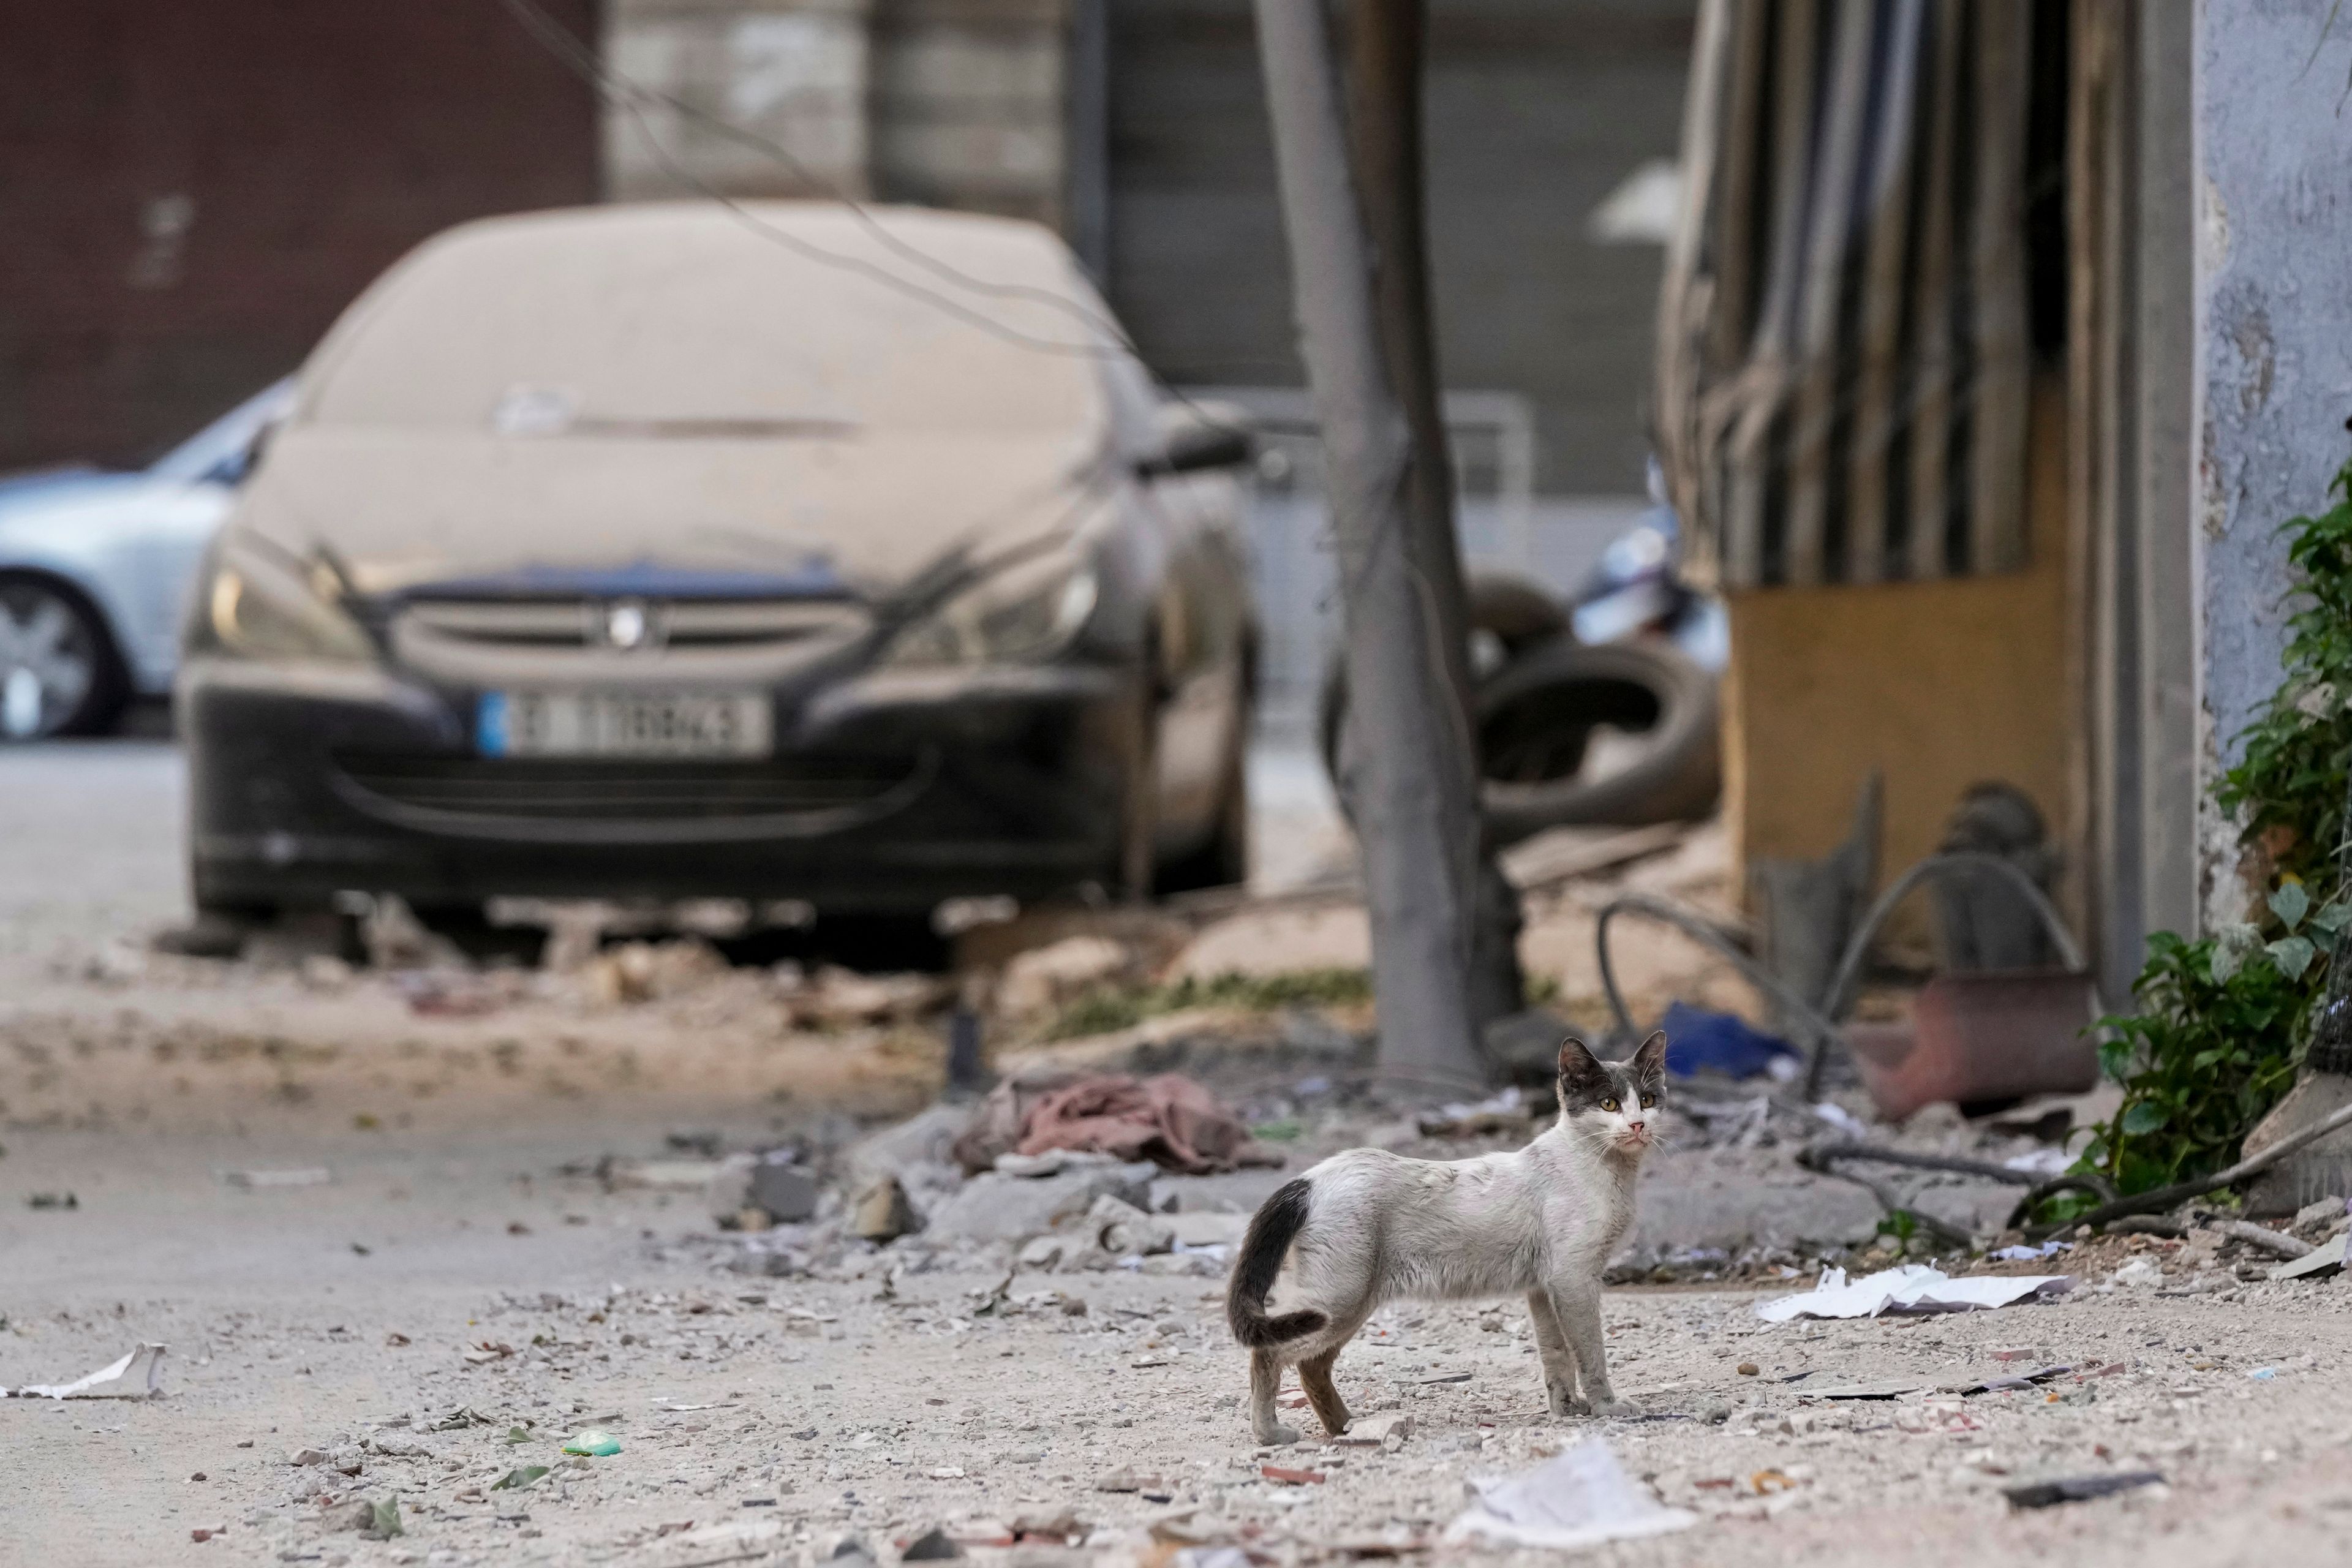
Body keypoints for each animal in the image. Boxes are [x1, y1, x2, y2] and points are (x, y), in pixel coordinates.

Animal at [1223, 1030, 1665, 1448]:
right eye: (1608, 1104)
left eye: (1647, 1099)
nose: (1638, 1125)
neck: (1610, 1172)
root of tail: (1310, 1179)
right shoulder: (1574, 1280)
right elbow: (1591, 1354)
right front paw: (1606, 1407)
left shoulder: (1544, 1288)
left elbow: (1556, 1357)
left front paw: (1568, 1410)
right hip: (1339, 1302)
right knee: (1268, 1353)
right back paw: (1271, 1434)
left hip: (1350, 1304)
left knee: (1312, 1366)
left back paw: (1347, 1427)